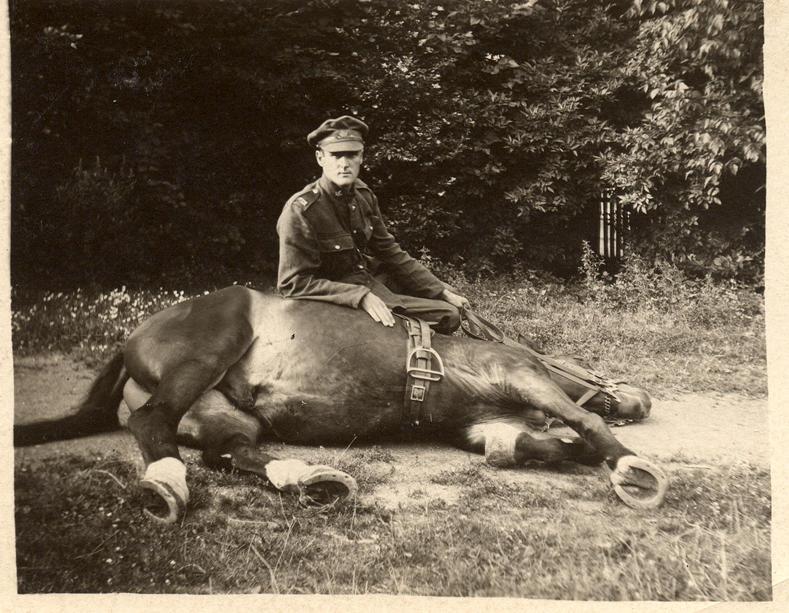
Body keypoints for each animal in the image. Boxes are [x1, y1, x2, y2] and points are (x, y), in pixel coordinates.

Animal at [13, 286, 664, 520]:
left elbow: (538, 445)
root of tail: (132, 336)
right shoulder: (520, 373)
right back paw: (165, 487)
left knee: (232, 452)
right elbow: (583, 419)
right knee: (156, 425)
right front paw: (632, 466)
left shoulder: (486, 428)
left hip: (225, 411)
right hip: (208, 353)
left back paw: (311, 480)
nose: (640, 401)